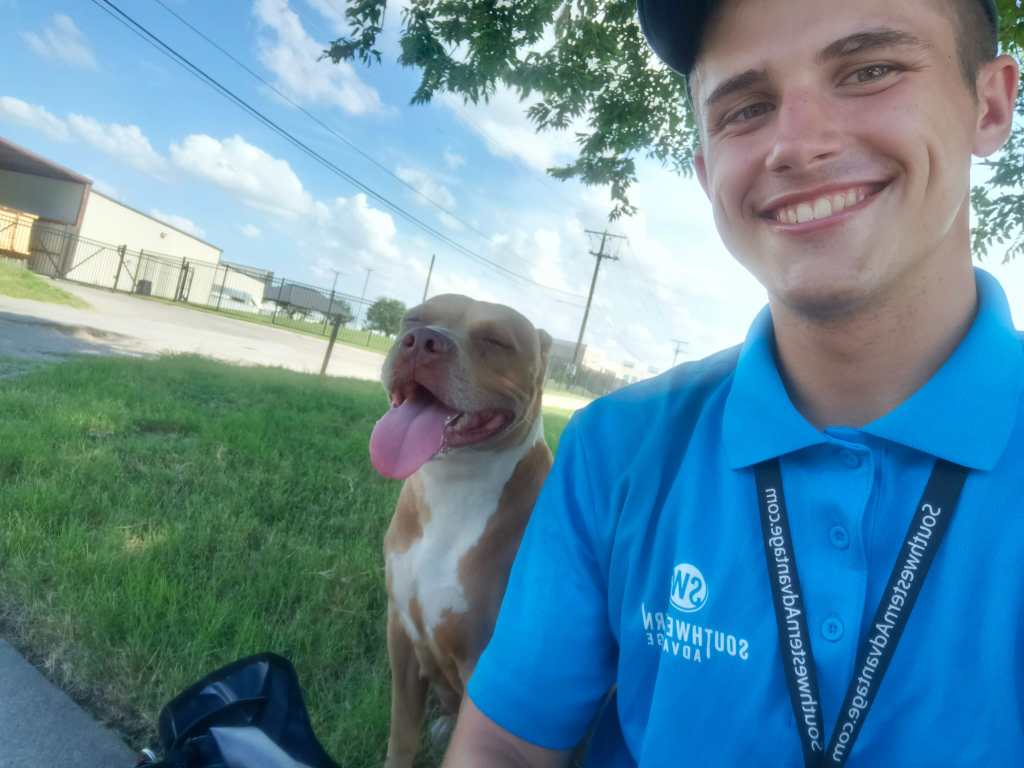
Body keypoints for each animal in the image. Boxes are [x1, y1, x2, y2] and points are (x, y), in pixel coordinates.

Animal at [369, 294, 553, 768]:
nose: (422, 341)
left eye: (497, 340)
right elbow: (402, 732)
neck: (452, 487)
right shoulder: (401, 633)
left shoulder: (487, 670)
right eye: (412, 318)